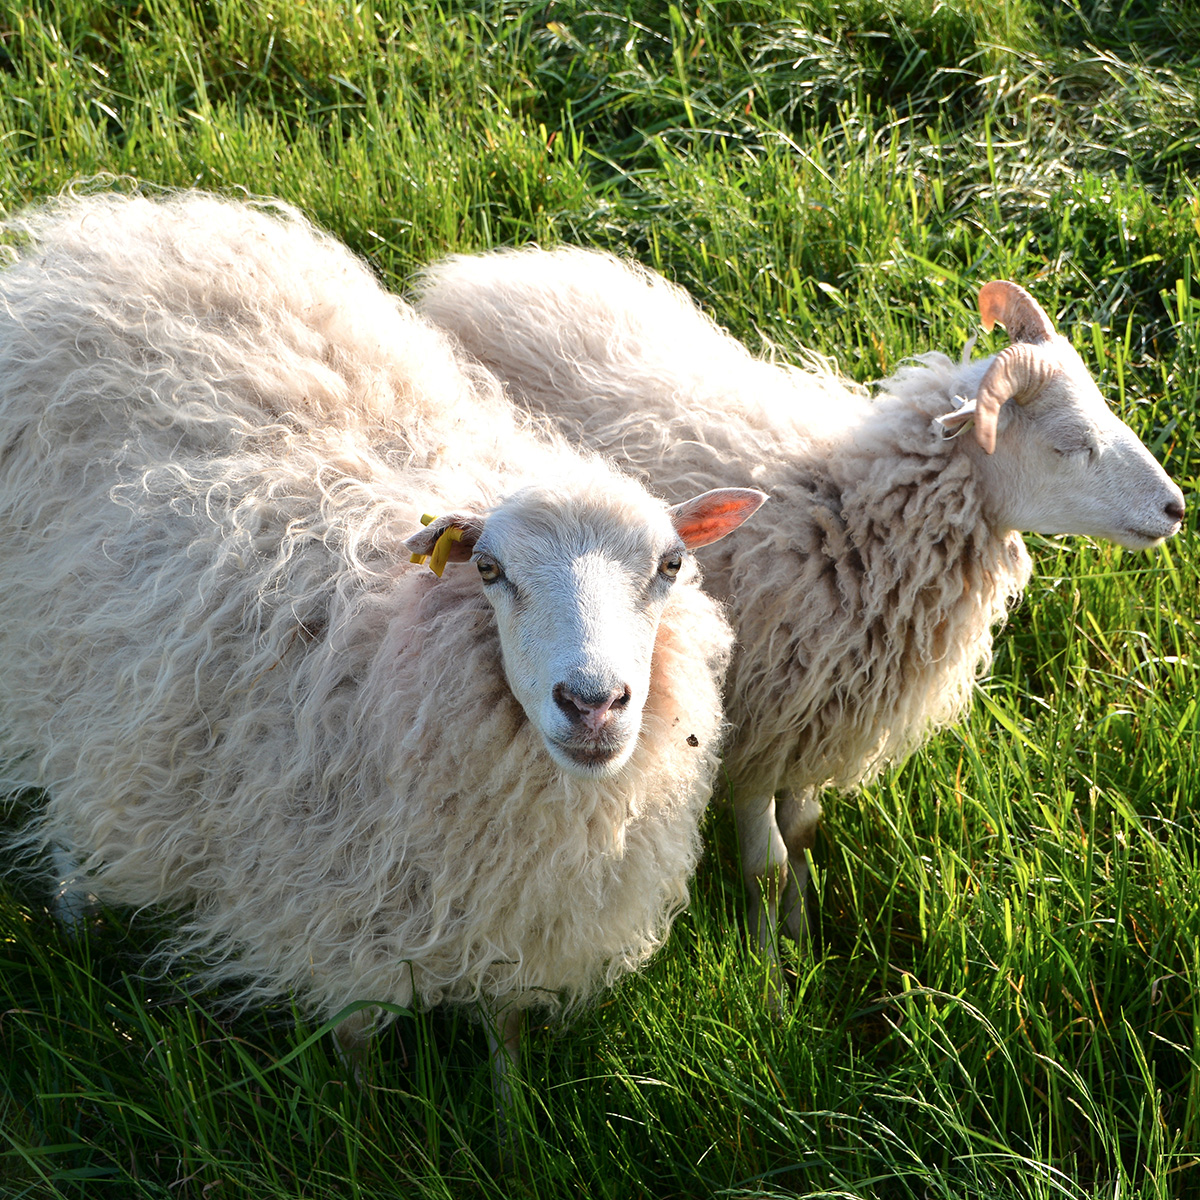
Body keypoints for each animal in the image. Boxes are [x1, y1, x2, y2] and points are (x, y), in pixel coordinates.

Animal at [0, 194, 763, 1104]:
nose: (593, 704)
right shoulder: (333, 910)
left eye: (672, 565)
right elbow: (357, 1040)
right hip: (55, 670)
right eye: (490, 569)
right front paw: (365, 1119)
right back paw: (74, 916)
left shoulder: (519, 918)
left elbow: (505, 1032)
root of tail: (103, 233)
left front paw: (511, 1119)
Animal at [417, 243, 1185, 984]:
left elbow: (806, 835)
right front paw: (771, 981)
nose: (1177, 508)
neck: (847, 520)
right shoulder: (753, 728)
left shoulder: (816, 719)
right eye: (1070, 444)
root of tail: (472, 271)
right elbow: (768, 863)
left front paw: (803, 937)